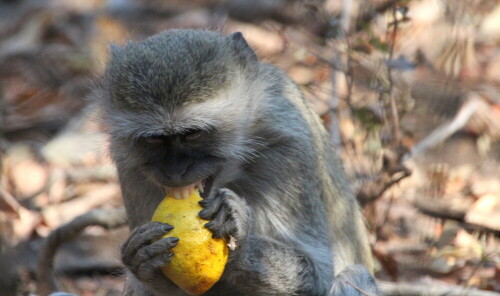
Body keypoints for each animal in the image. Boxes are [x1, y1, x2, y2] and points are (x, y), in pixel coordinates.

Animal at [94, 28, 378, 296]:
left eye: (192, 134)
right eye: (153, 139)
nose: (175, 171)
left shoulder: (290, 147)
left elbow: (321, 271)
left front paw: (241, 240)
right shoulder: (129, 167)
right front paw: (144, 263)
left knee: (354, 275)